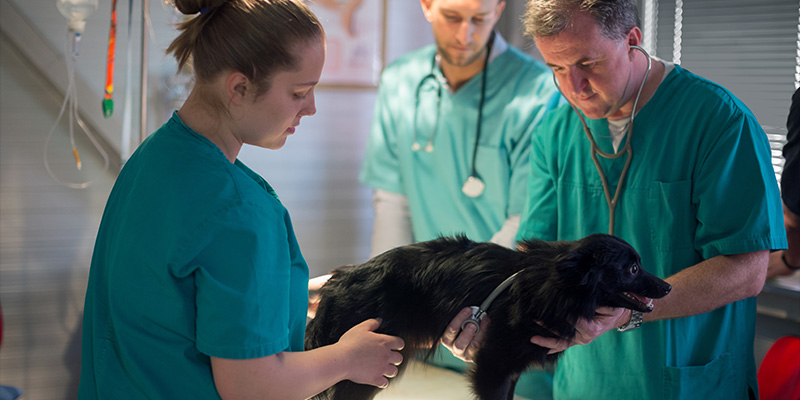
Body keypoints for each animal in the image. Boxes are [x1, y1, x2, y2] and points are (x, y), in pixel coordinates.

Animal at [304, 234, 668, 400]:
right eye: (632, 269)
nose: (666, 286)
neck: (553, 284)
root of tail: (341, 279)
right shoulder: (493, 366)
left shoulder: (512, 372)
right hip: (363, 368)